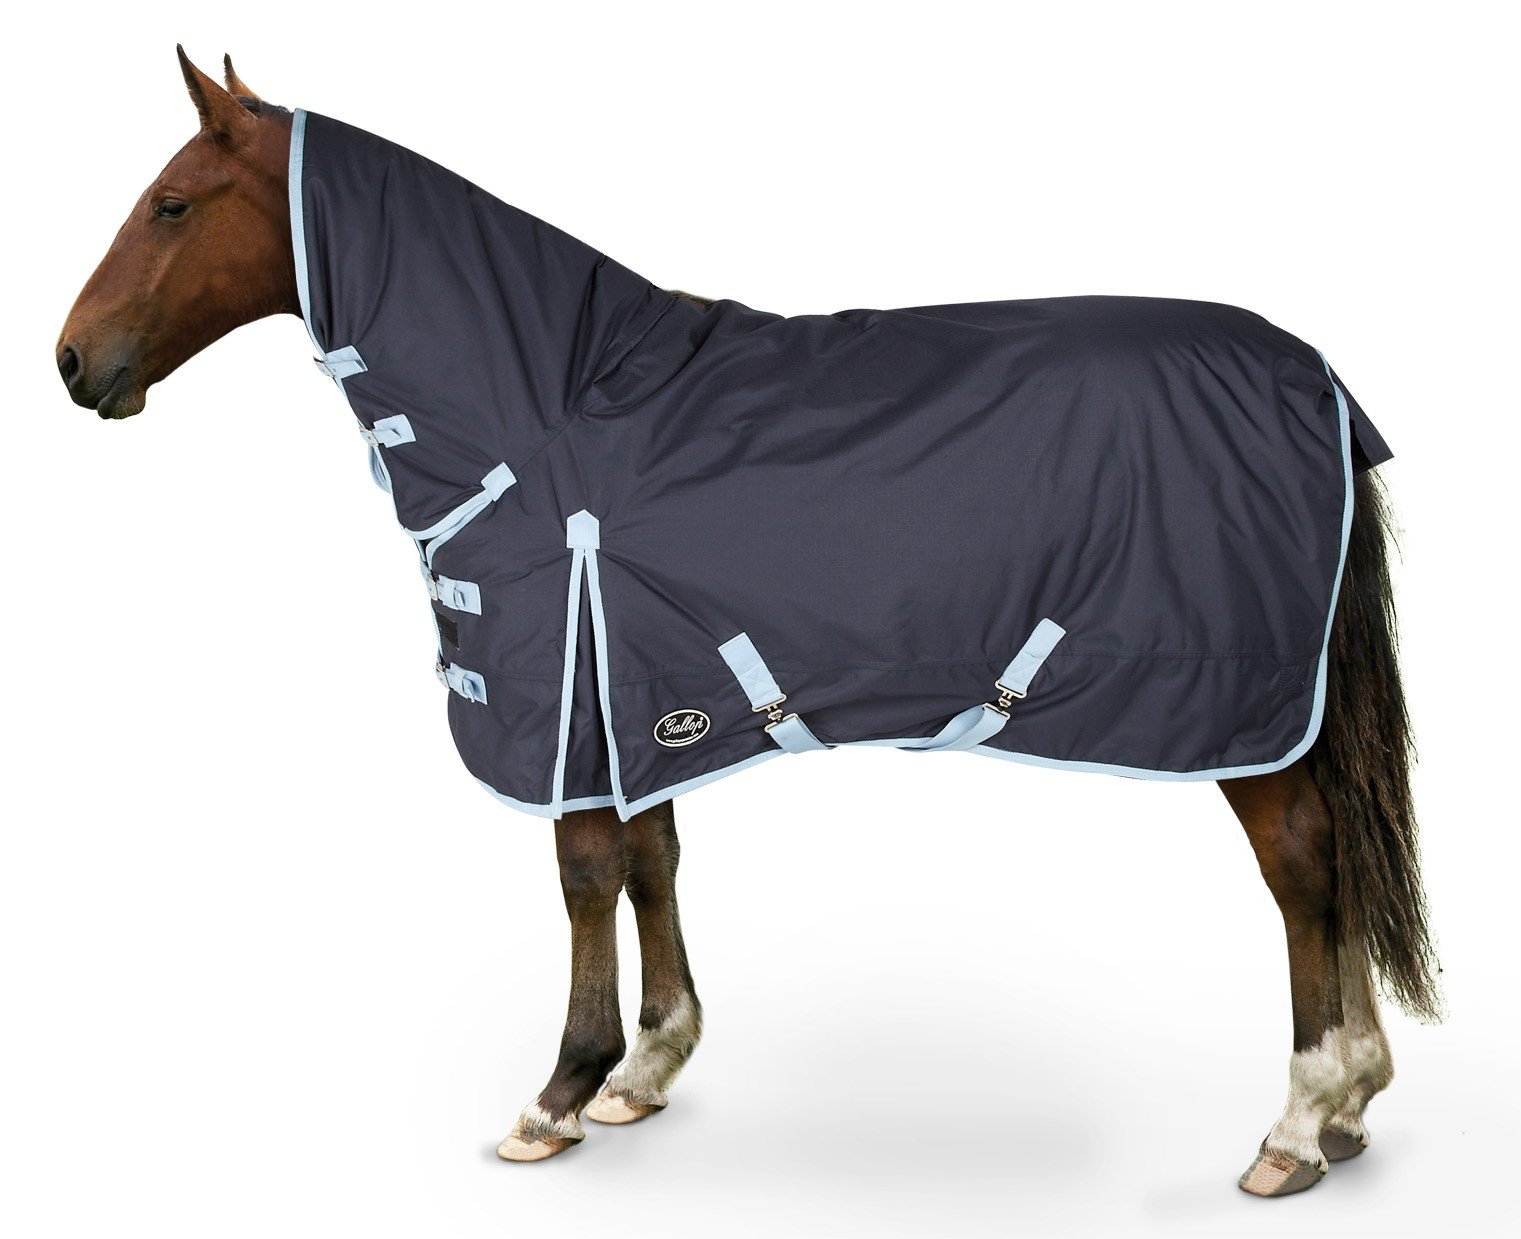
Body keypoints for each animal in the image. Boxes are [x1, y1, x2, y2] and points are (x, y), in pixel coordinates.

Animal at [55, 50, 1439, 1196]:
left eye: (171, 203)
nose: (72, 362)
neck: (547, 402)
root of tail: (1317, 379)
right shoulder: (632, 686)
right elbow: (651, 859)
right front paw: (646, 1071)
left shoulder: (566, 687)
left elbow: (585, 873)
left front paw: (560, 1092)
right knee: (1338, 862)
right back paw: (1354, 1102)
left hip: (1247, 713)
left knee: (1303, 865)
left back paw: (1298, 1122)